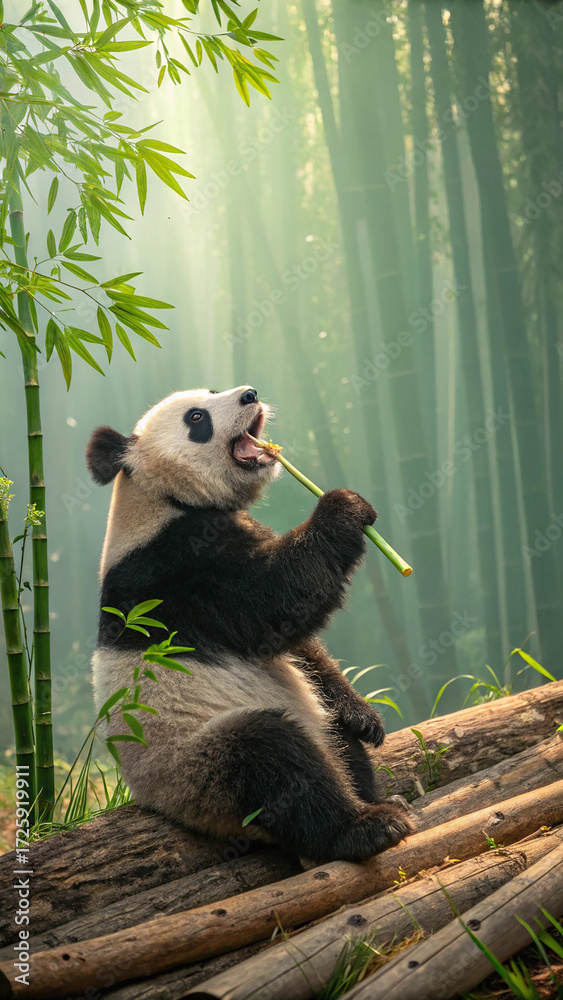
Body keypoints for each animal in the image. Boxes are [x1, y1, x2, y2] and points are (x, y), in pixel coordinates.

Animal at [86, 385, 411, 863]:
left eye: (213, 390)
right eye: (197, 417)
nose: (249, 394)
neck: (162, 500)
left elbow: (300, 645)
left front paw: (364, 715)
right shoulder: (175, 570)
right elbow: (271, 605)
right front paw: (344, 507)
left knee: (334, 738)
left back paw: (376, 794)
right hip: (198, 770)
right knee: (271, 759)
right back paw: (364, 827)